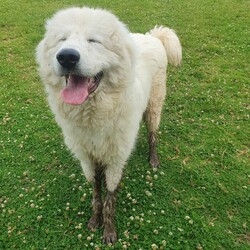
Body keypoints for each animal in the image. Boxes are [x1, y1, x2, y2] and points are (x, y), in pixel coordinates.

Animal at [36, 6, 182, 245]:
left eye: (94, 40)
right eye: (62, 39)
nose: (66, 57)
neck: (94, 116)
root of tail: (152, 36)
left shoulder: (115, 158)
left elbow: (109, 199)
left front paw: (109, 230)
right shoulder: (87, 158)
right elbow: (96, 193)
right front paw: (95, 220)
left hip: (154, 106)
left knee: (153, 134)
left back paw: (153, 159)